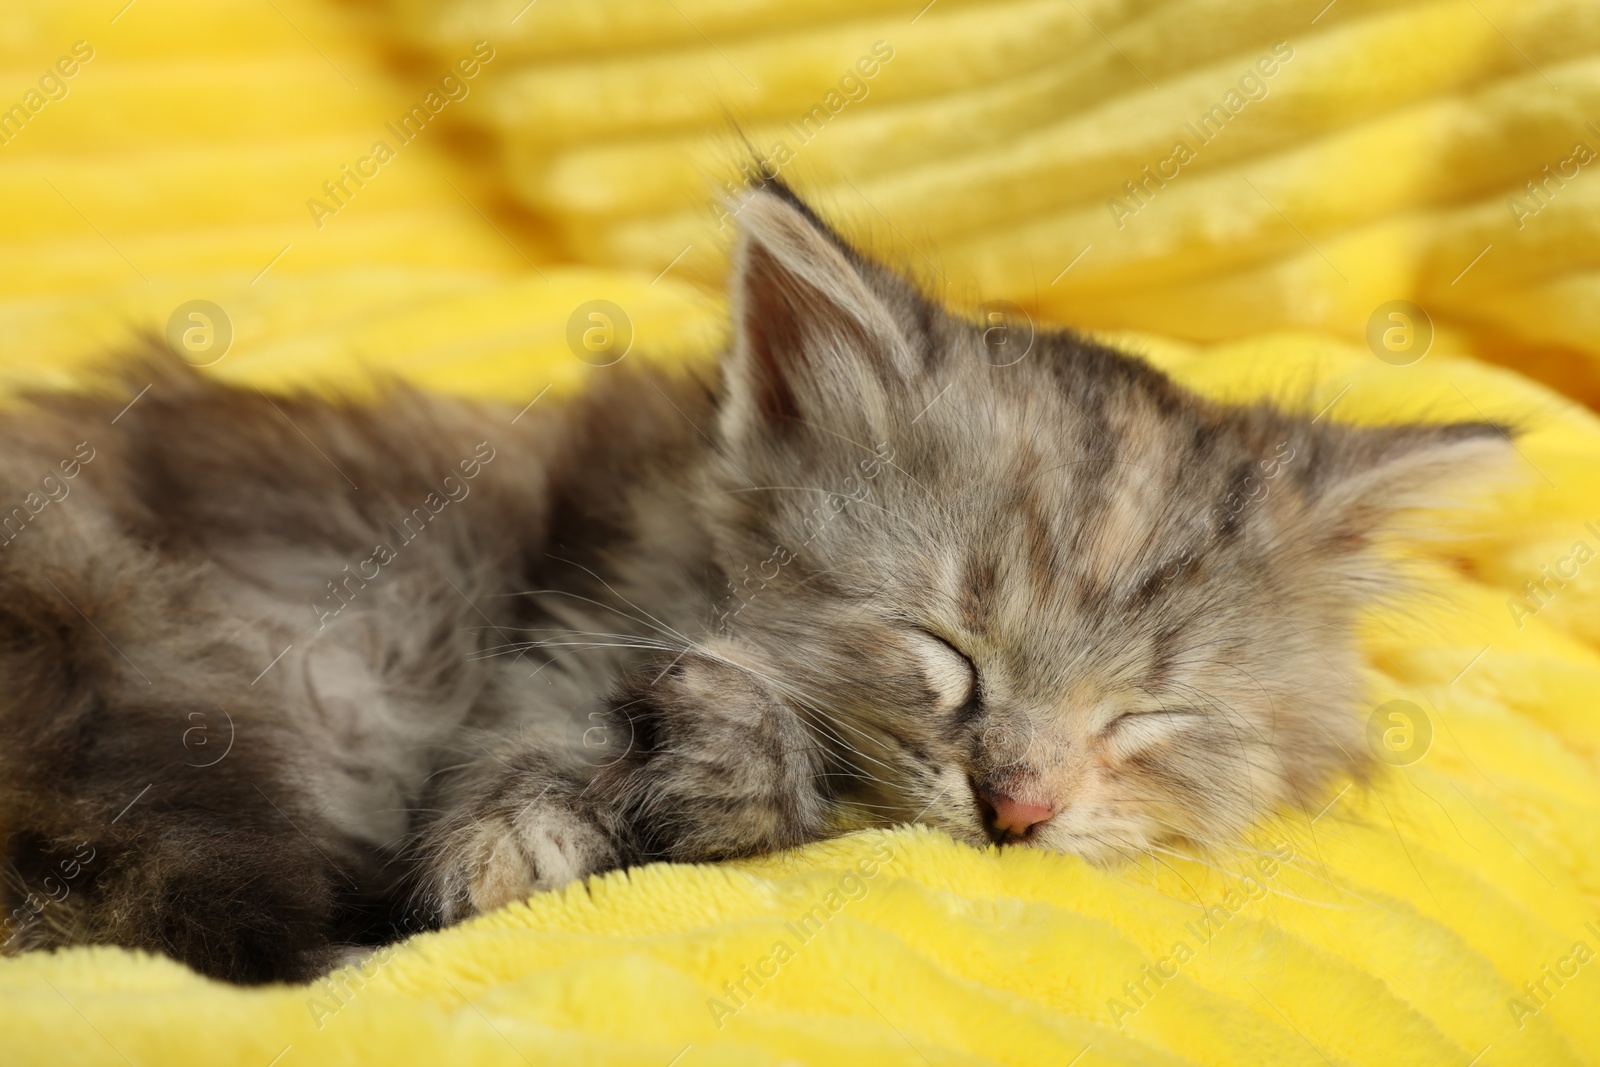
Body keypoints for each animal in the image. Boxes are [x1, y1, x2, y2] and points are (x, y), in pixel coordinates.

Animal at [0, 185, 1497, 985]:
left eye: (1148, 719)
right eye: (944, 650)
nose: (1019, 807)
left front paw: (715, 768)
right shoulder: (573, 619)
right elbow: (511, 792)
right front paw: (529, 843)